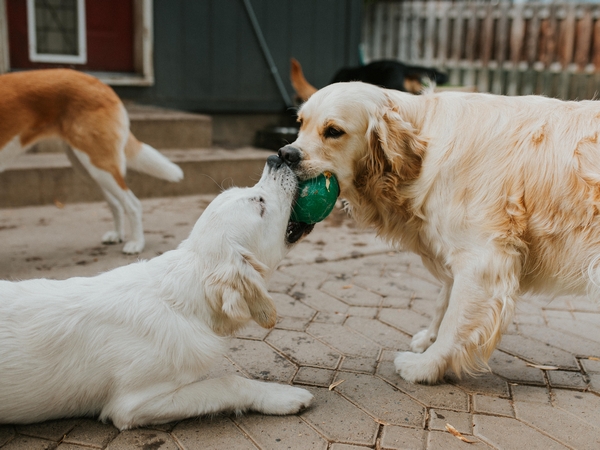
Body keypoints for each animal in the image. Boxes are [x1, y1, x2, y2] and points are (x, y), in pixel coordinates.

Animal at [0, 69, 183, 253]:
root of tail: (101, 84)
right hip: (87, 169)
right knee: (116, 203)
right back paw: (117, 235)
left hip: (99, 164)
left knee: (133, 204)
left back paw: (136, 243)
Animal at [1, 156, 314, 428]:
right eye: (259, 203)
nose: (277, 158)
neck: (183, 304)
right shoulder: (132, 404)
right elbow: (231, 382)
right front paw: (283, 396)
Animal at [280, 81, 600, 384]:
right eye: (300, 123)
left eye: (333, 131)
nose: (285, 154)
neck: (423, 150)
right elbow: (444, 301)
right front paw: (428, 340)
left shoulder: (482, 259)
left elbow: (455, 323)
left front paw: (426, 366)